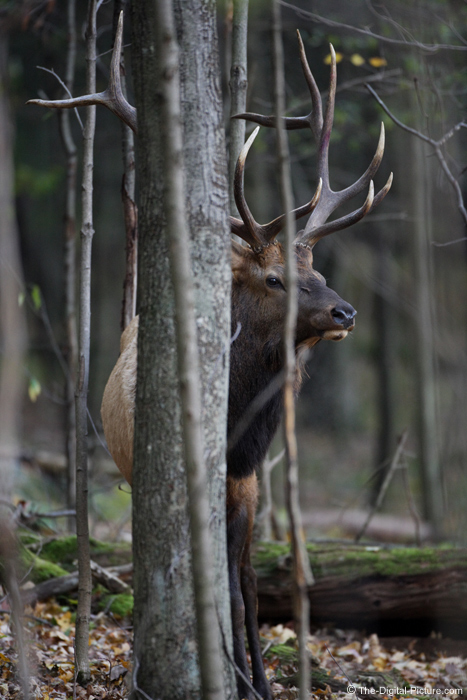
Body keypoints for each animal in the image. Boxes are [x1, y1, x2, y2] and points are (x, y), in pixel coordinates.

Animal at [29, 17, 394, 700]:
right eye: (276, 279)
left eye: (319, 272)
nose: (345, 313)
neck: (236, 434)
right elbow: (218, 581)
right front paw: (241, 679)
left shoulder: (247, 484)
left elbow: (246, 583)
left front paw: (262, 683)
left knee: (239, 574)